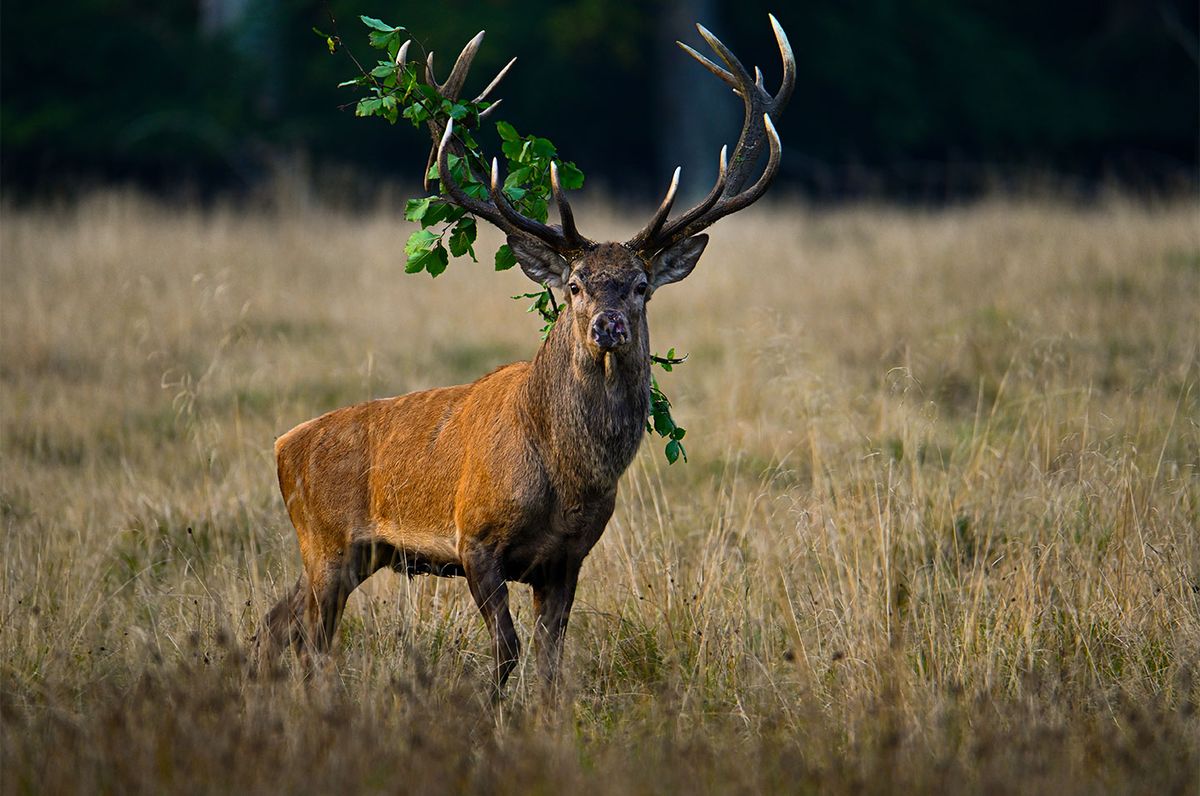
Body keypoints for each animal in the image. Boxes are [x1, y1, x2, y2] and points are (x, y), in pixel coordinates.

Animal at [250, 14, 796, 696]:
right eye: (575, 285)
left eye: (641, 285)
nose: (608, 327)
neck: (566, 480)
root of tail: (281, 447)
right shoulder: (474, 538)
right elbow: (506, 650)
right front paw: (487, 709)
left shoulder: (567, 559)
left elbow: (549, 660)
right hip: (324, 540)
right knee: (312, 641)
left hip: (352, 553)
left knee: (276, 622)